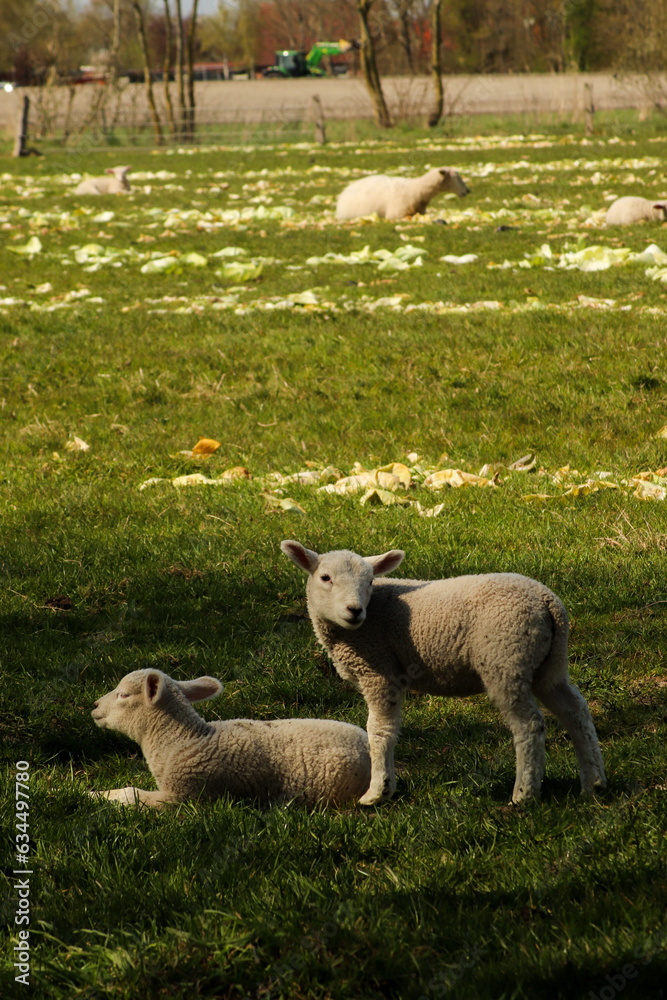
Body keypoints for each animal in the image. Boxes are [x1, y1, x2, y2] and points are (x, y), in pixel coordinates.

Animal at [90, 668, 371, 808]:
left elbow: (132, 795)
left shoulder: (187, 795)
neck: (182, 740)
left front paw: (95, 794)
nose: (93, 706)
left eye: (124, 695)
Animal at [281, 541, 607, 807]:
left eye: (370, 581)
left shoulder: (379, 670)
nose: (354, 610)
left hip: (505, 658)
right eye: (325, 578)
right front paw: (387, 786)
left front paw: (377, 792)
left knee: (529, 725)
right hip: (550, 663)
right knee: (576, 712)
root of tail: (547, 601)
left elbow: (379, 731)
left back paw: (524, 796)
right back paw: (593, 784)